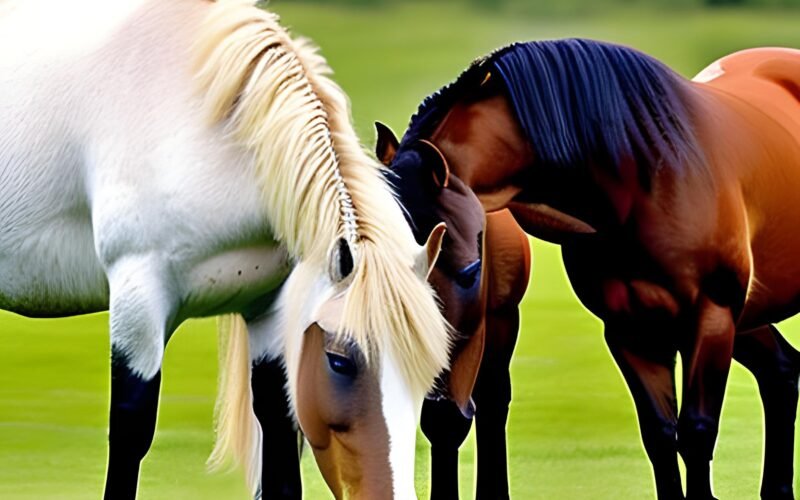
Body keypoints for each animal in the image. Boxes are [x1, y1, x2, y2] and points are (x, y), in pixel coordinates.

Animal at [0, 1, 452, 498]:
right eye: (339, 361)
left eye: (431, 372)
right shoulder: (138, 300)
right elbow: (131, 429)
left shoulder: (267, 309)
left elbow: (277, 426)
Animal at [377, 39, 800, 499]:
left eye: (472, 270)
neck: (645, 173)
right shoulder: (632, 330)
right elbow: (660, 436)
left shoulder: (711, 319)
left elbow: (696, 434)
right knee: (782, 370)